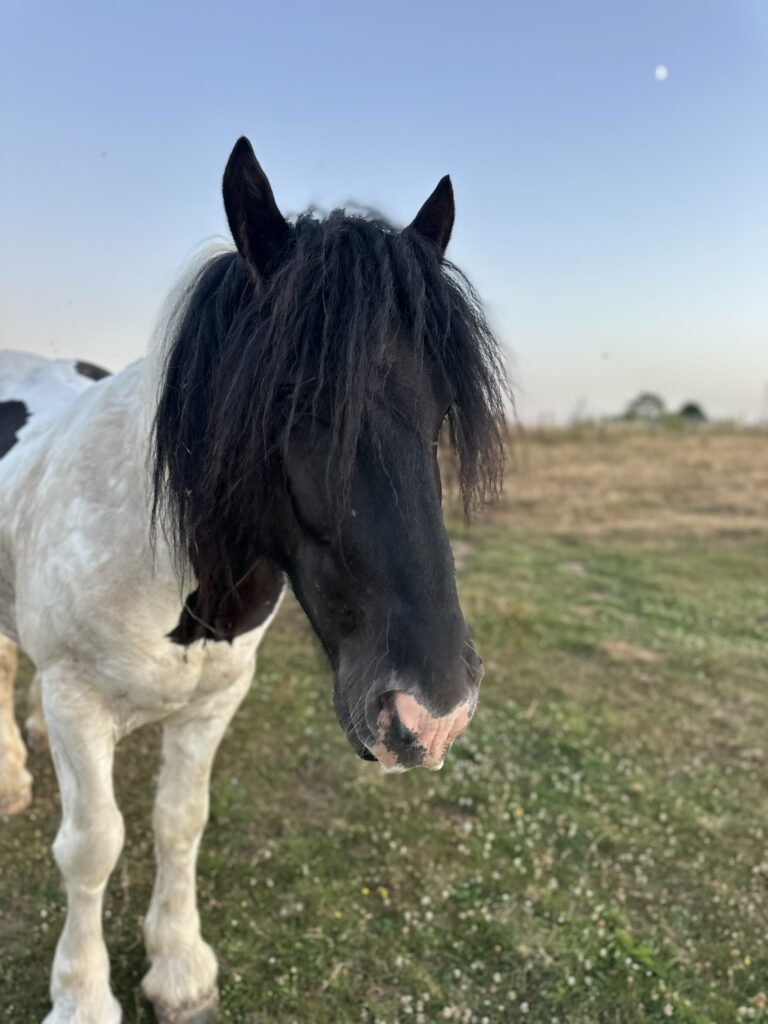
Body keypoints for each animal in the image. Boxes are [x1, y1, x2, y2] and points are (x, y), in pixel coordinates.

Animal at [0, 137, 508, 1024]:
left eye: (443, 409)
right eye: (293, 399)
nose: (433, 714)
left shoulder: (215, 701)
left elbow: (180, 822)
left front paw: (178, 966)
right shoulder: (76, 703)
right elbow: (93, 845)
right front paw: (83, 995)